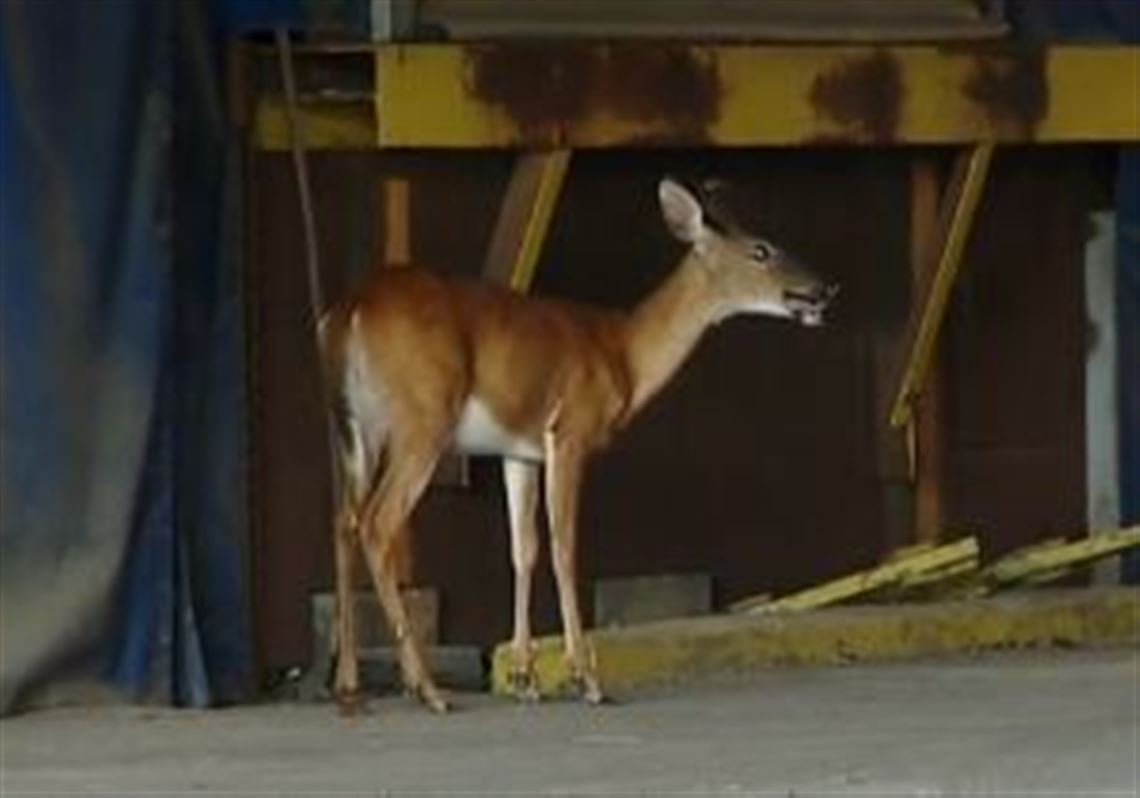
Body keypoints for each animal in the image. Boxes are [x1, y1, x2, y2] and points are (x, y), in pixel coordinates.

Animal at [316, 177, 834, 715]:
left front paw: (524, 678)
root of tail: (350, 314)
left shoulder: (519, 450)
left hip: (352, 427)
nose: (823, 289)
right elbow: (566, 548)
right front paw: (586, 679)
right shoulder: (571, 432)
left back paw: (348, 685)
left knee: (344, 522)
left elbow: (523, 549)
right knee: (378, 522)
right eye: (761, 249)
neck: (624, 353)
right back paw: (428, 689)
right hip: (421, 418)